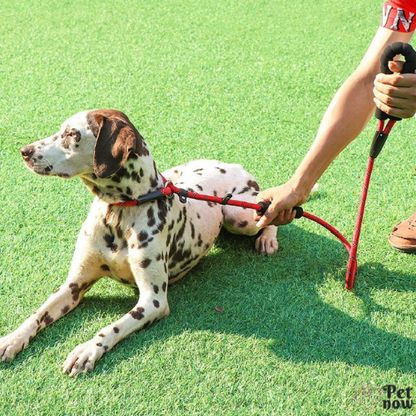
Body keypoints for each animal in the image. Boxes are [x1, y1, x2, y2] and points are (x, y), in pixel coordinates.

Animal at [1, 109, 280, 376]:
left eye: (72, 134)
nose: (25, 151)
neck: (119, 214)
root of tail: (232, 164)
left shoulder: (153, 301)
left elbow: (112, 327)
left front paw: (88, 349)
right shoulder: (73, 286)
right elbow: (37, 314)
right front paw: (12, 339)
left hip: (238, 215)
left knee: (269, 210)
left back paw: (268, 238)